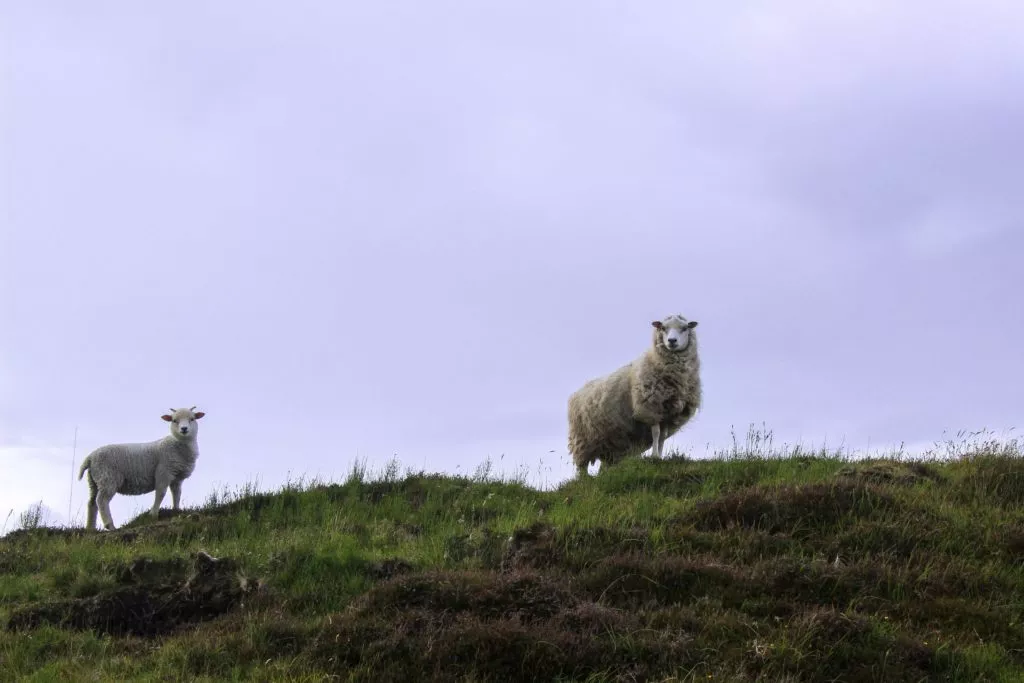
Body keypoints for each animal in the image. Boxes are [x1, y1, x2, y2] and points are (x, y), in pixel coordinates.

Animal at [568, 314, 701, 477]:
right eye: (663, 328)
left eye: (684, 328)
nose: (672, 341)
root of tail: (578, 391)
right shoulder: (649, 409)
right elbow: (656, 433)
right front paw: (654, 457)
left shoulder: (667, 414)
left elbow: (662, 437)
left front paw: (660, 456)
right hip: (582, 440)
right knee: (582, 466)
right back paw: (585, 479)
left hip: (609, 444)